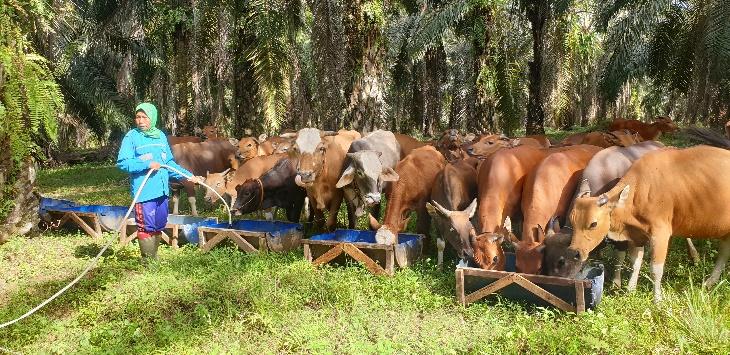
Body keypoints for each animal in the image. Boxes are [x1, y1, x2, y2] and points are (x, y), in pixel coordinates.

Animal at [564, 146, 728, 302]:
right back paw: (710, 281)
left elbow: (655, 269)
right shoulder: (637, 235)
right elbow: (635, 262)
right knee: (724, 253)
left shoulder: (660, 234)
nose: (574, 253)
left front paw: (658, 300)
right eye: (572, 221)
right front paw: (630, 290)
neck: (640, 191)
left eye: (593, 224)